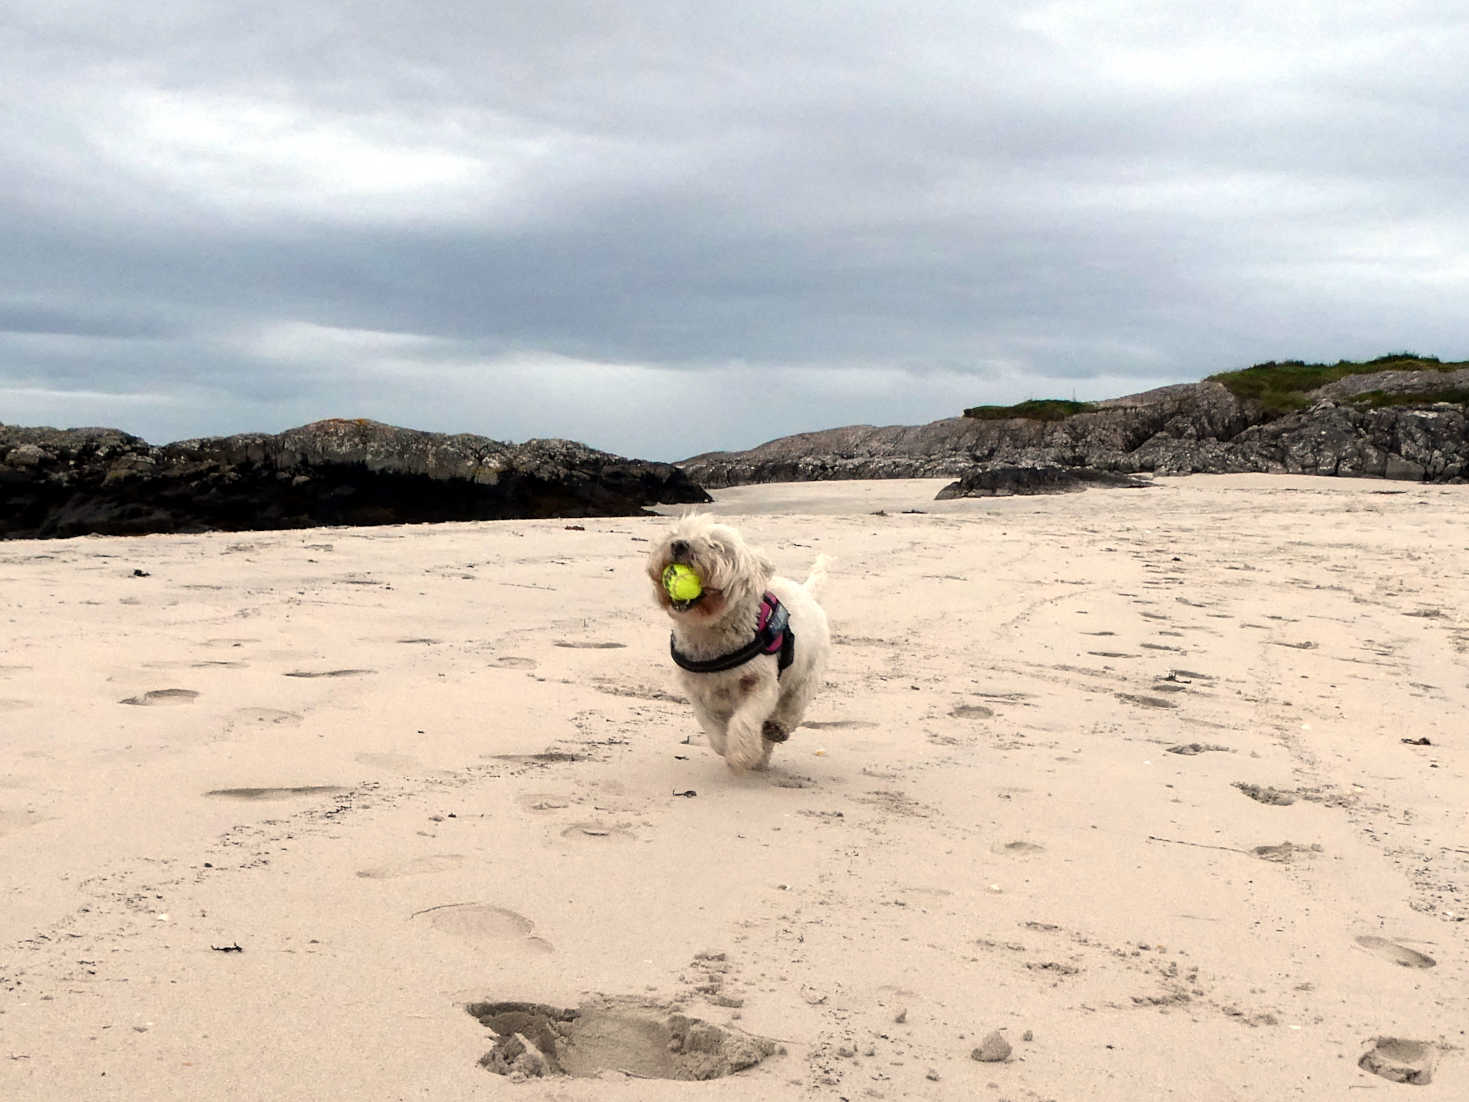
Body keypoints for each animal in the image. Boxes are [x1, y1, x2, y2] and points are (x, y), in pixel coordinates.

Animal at [649, 514, 834, 769]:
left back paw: (777, 730)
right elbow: (712, 725)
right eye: (675, 534)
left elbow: (745, 718)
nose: (679, 545)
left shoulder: (760, 683)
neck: (709, 631)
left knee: (793, 705)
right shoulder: (697, 690)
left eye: (716, 546)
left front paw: (742, 754)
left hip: (806, 673)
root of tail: (806, 592)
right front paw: (726, 746)